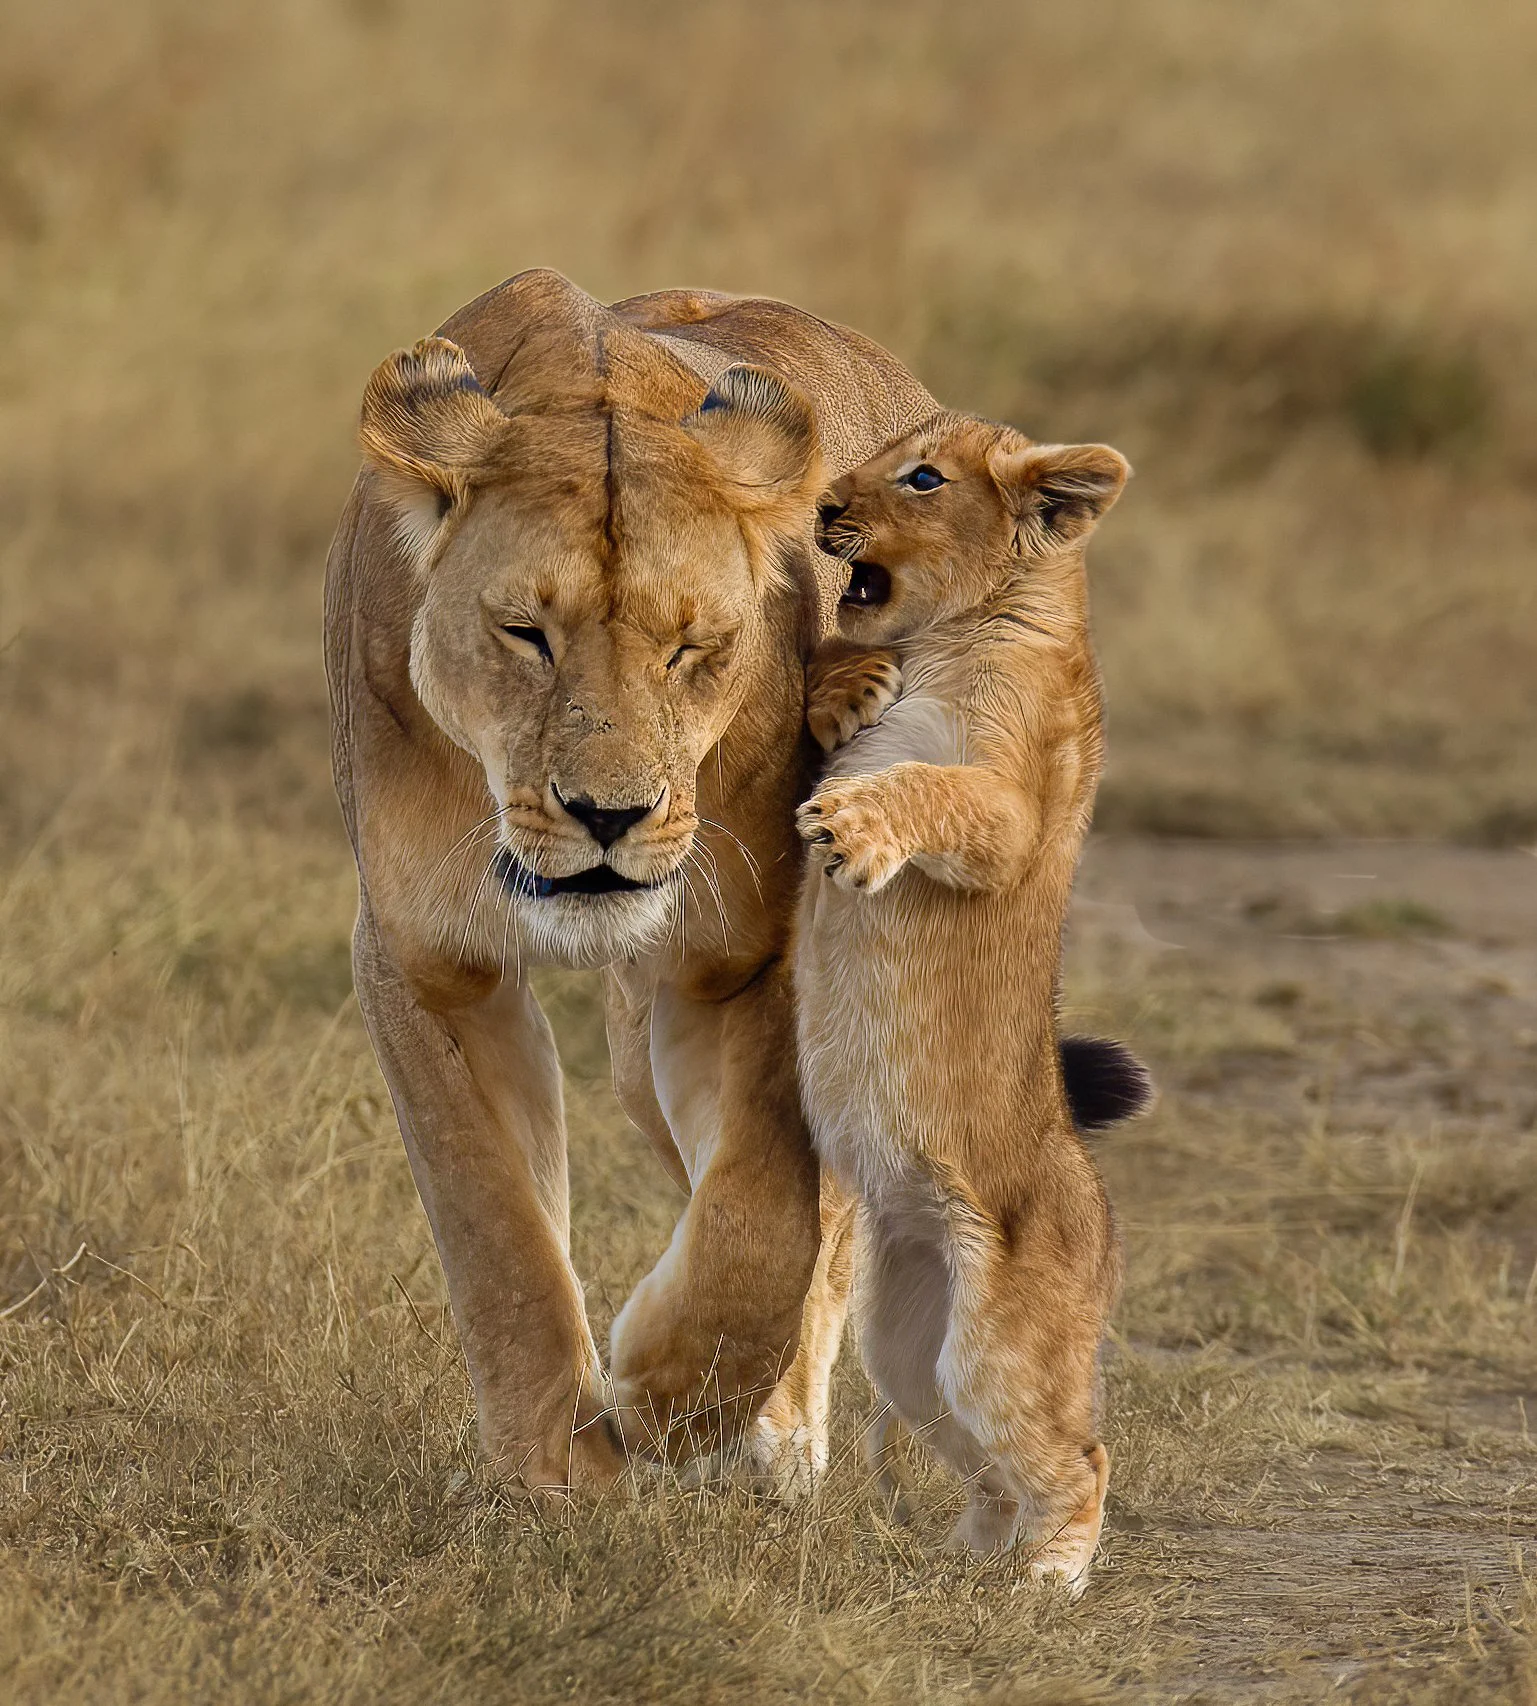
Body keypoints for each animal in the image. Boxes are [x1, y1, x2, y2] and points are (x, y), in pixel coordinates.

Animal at [324, 269, 937, 1494]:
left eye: (690, 647)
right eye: (525, 633)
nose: (608, 817)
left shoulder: (751, 957)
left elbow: (764, 1213)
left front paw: (671, 1399)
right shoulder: (426, 961)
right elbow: (494, 1221)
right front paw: (553, 1465)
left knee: (832, 1211)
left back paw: (778, 1438)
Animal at [793, 411, 1132, 1591]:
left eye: (923, 478)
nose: (821, 507)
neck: (953, 635)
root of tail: (1103, 1212)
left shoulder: (1010, 803)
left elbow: (930, 789)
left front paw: (850, 828)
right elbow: (834, 688)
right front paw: (844, 683)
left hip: (998, 1347)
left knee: (1081, 1456)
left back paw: (1048, 1577)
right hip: (906, 1342)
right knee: (983, 1461)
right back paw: (967, 1562)